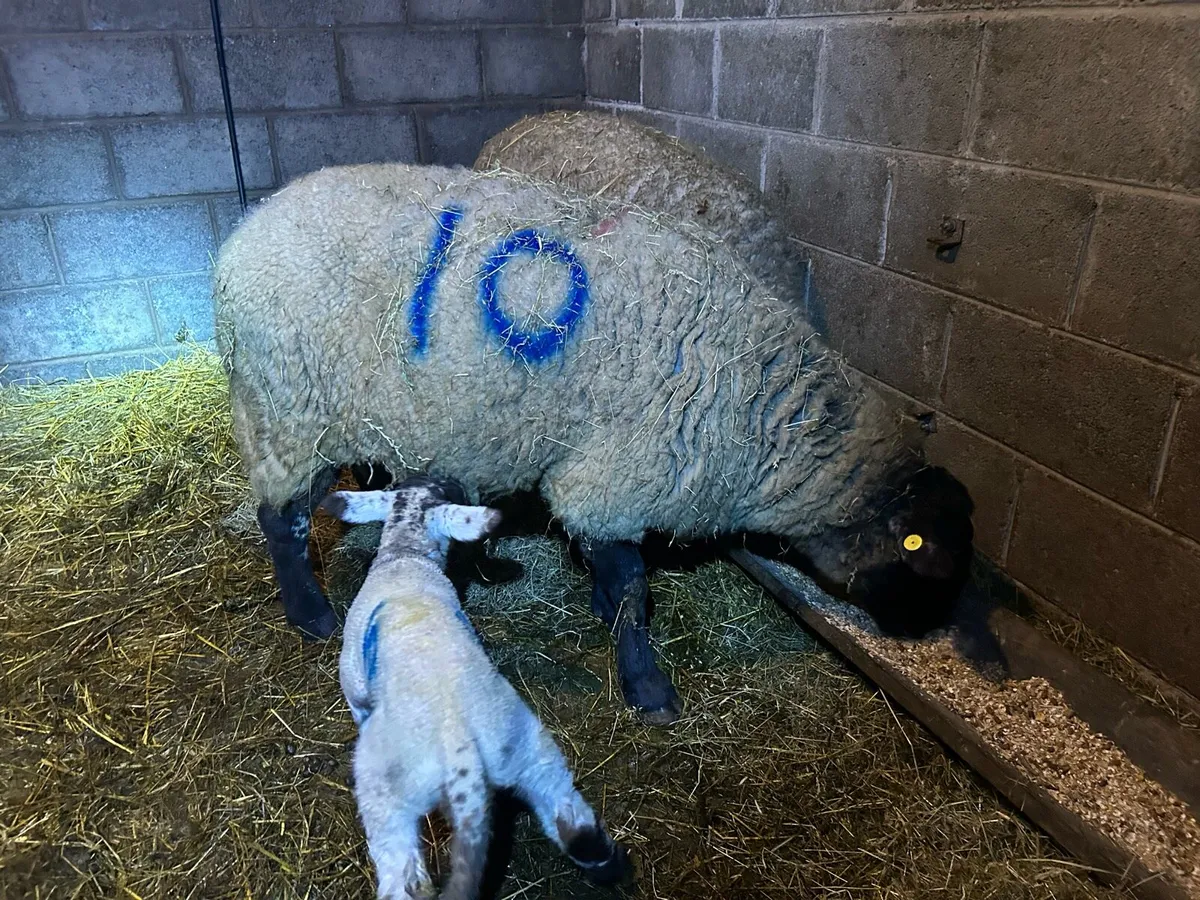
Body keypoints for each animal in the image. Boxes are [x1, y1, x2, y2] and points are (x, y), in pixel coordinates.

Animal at [213, 161, 986, 725]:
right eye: (921, 554)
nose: (918, 635)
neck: (768, 416)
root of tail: (242, 235)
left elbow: (610, 574)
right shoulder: (618, 477)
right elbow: (632, 589)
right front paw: (648, 689)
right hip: (288, 410)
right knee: (280, 519)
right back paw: (312, 616)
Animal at [325, 474, 629, 900]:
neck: (406, 556)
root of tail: (460, 748)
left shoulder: (353, 684)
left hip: (387, 793)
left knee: (403, 872)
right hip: (526, 746)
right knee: (569, 816)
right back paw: (604, 861)